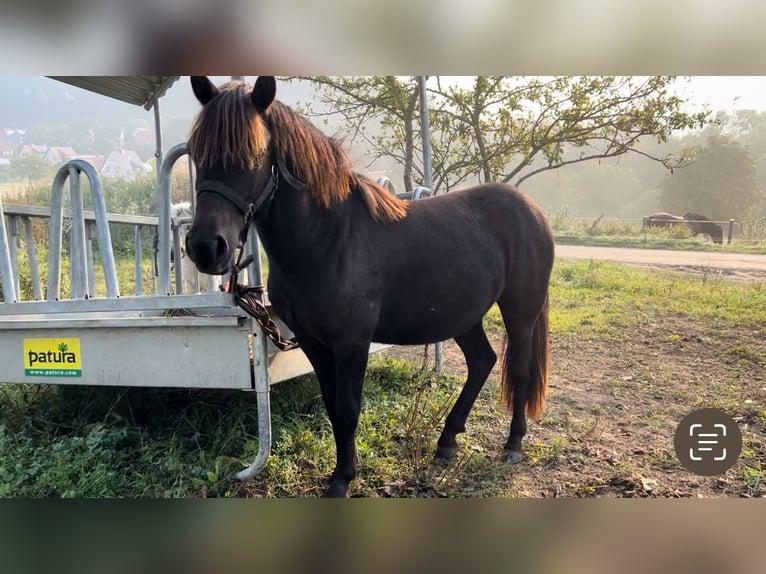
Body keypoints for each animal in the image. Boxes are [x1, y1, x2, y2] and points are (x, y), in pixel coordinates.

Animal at [186, 77, 560, 500]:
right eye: (197, 153)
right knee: (482, 361)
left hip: (521, 312)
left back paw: (513, 445)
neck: (327, 239)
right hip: (464, 316)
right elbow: (333, 406)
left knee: (520, 370)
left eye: (254, 153)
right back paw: (447, 442)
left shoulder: (352, 340)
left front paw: (342, 480)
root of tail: (532, 210)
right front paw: (343, 471)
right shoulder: (312, 340)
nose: (205, 247)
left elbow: (349, 407)